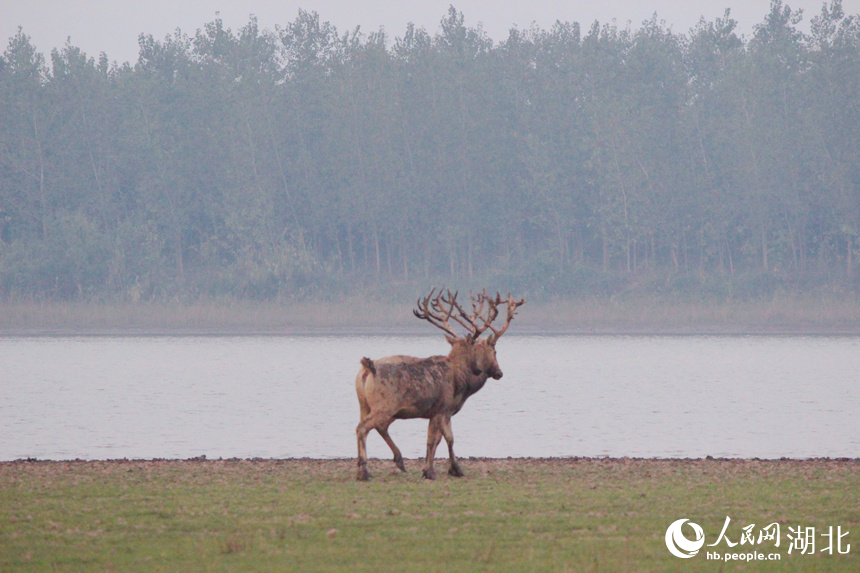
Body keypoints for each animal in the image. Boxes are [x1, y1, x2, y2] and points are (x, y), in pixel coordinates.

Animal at [352, 288, 524, 480]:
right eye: (494, 351)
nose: (499, 373)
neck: (462, 384)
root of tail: (367, 367)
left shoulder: (440, 412)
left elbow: (441, 439)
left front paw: (440, 469)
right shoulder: (442, 409)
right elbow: (440, 439)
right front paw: (439, 470)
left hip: (365, 404)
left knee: (373, 426)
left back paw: (391, 462)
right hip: (385, 405)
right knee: (364, 428)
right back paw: (364, 471)